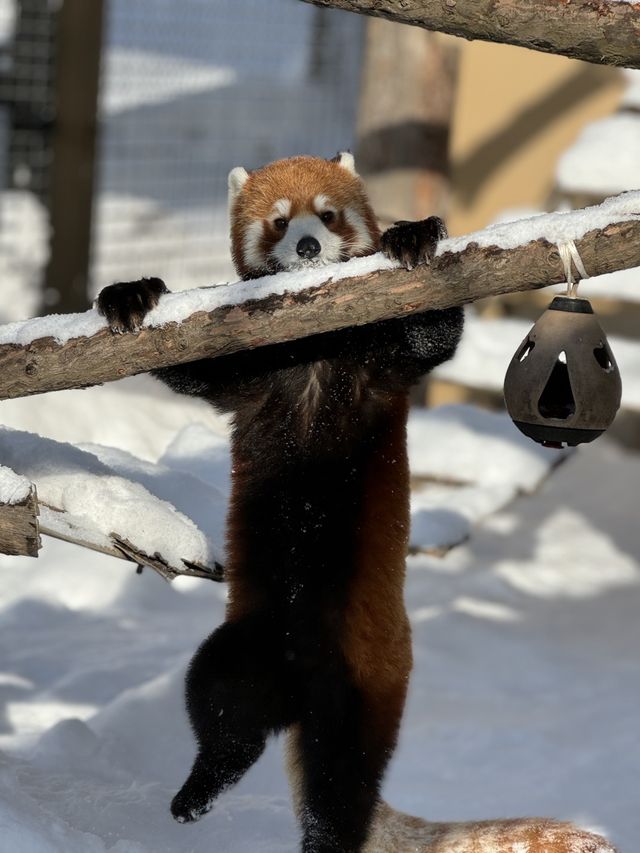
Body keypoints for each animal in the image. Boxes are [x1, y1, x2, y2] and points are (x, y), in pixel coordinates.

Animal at [95, 155, 462, 852]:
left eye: (328, 214)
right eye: (279, 222)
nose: (310, 248)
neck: (313, 353)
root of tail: (299, 685)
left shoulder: (381, 365)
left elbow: (431, 336)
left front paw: (415, 238)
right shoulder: (252, 373)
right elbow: (192, 366)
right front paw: (133, 294)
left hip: (367, 676)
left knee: (342, 781)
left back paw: (317, 834)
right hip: (250, 639)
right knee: (221, 706)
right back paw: (198, 791)